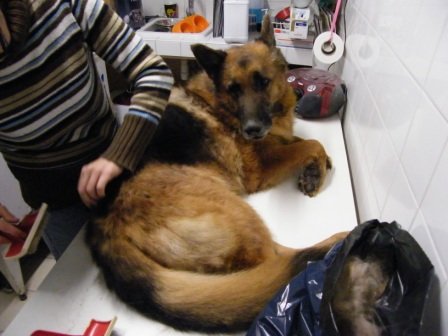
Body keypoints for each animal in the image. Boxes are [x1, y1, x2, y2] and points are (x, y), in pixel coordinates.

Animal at [86, 15, 348, 334]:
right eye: (233, 88)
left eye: (263, 82)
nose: (251, 130)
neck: (220, 105)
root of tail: (103, 225)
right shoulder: (260, 167)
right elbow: (310, 144)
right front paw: (314, 166)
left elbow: (300, 141)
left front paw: (317, 165)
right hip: (238, 212)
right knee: (280, 262)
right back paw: (334, 244)